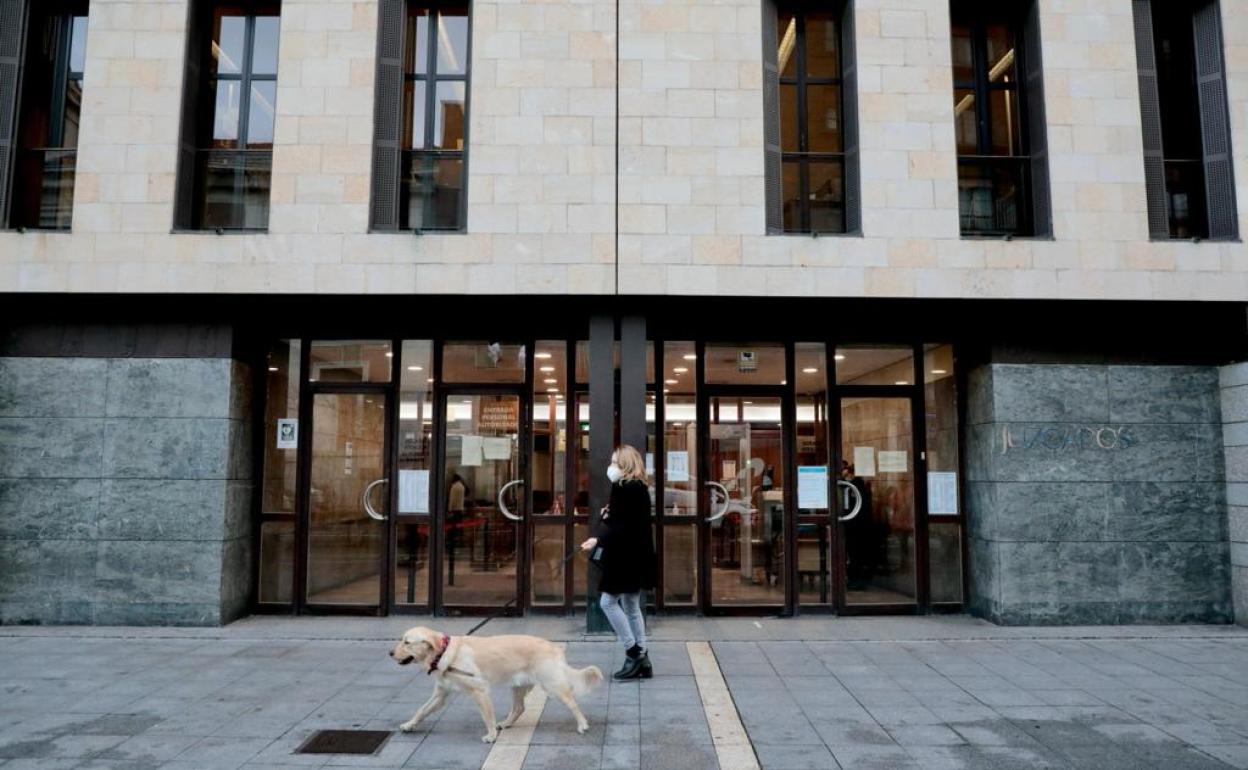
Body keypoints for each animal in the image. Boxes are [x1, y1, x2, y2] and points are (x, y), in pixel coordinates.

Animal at [389, 623, 604, 743]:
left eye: (407, 642)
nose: (390, 653)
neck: (444, 653)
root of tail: (554, 647)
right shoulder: (440, 694)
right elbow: (421, 710)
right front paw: (409, 725)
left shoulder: (480, 691)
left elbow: (487, 717)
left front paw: (491, 735)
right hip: (518, 686)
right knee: (519, 708)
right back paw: (506, 723)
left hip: (552, 685)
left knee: (573, 703)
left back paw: (583, 725)